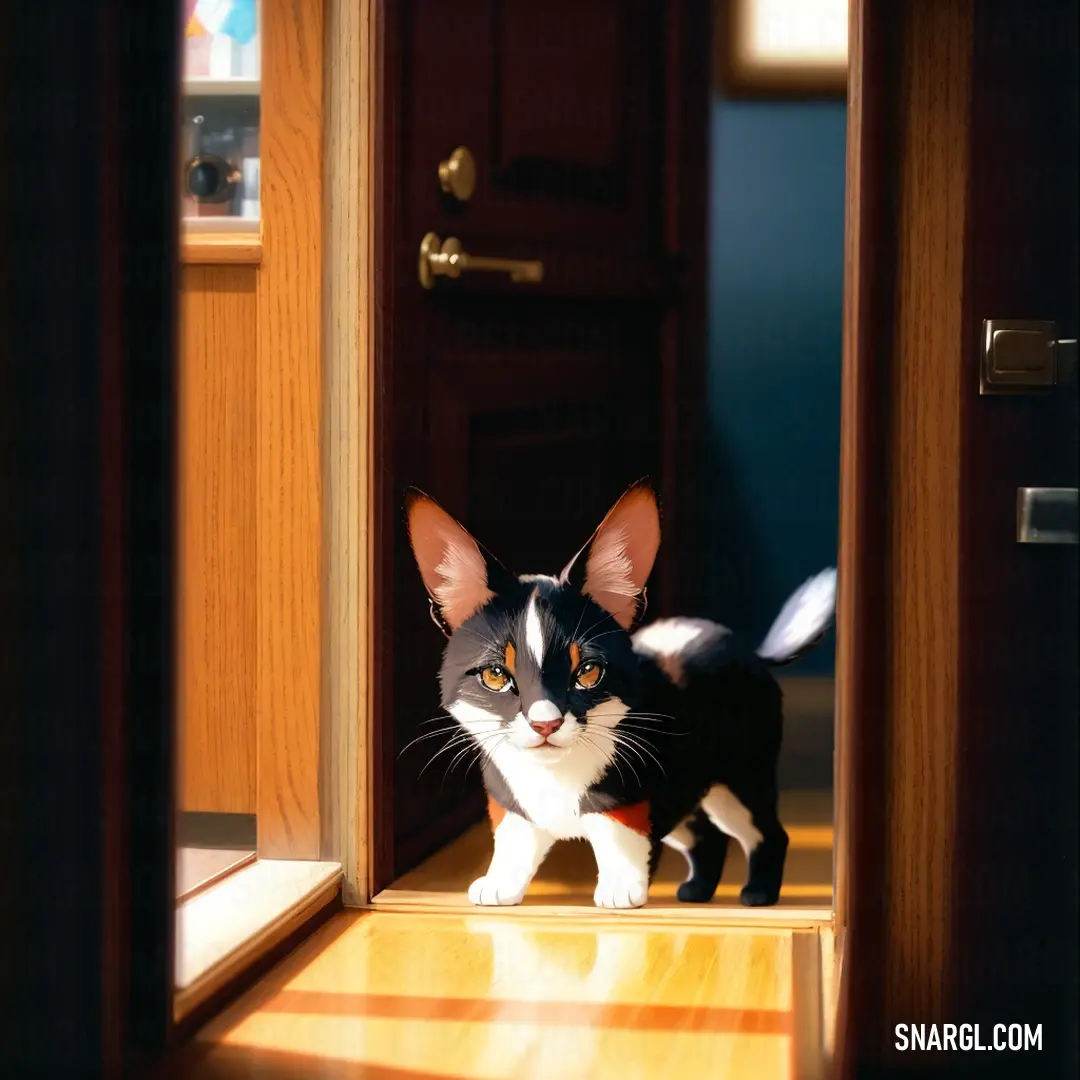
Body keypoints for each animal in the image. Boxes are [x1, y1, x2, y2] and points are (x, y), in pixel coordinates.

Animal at [406, 477, 833, 907]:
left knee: (766, 832)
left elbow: (619, 838)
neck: (552, 776)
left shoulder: (629, 801)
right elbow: (514, 841)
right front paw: (500, 885)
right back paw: (696, 891)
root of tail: (755, 654)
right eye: (495, 676)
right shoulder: (515, 805)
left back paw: (759, 893)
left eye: (588, 672)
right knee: (706, 834)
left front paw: (620, 890)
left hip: (740, 777)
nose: (546, 724)